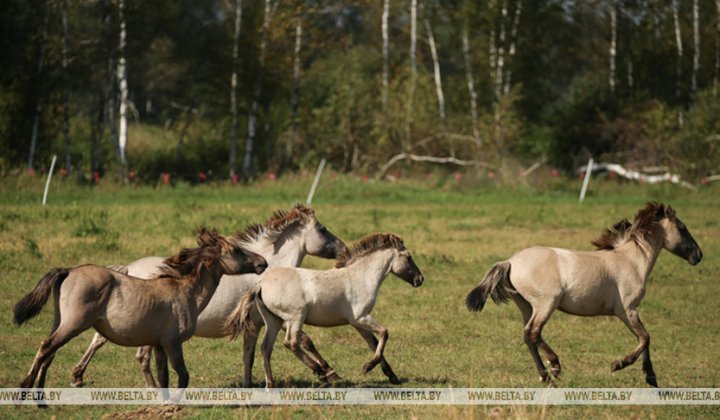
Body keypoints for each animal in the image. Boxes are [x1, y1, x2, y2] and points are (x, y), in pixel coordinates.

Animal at [15, 228, 268, 392]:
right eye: (235, 250)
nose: (262, 263)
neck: (185, 292)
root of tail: (68, 271)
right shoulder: (172, 343)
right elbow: (182, 376)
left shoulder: (158, 346)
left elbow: (164, 377)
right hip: (73, 324)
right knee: (46, 347)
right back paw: (26, 389)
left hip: (60, 323)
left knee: (49, 352)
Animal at [70, 204, 348, 388]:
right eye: (323, 229)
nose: (344, 250)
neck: (268, 273)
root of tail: (129, 268)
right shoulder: (270, 320)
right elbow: (303, 341)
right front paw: (326, 372)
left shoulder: (258, 324)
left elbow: (248, 356)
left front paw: (249, 384)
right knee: (133, 354)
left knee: (99, 339)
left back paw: (78, 375)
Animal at [225, 232, 425, 388]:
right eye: (408, 257)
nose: (420, 279)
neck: (360, 277)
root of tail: (260, 284)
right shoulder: (360, 318)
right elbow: (384, 333)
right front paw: (367, 367)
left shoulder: (357, 323)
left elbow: (374, 343)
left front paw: (392, 376)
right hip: (295, 318)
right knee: (291, 343)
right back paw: (319, 370)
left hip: (274, 321)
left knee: (266, 348)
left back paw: (271, 384)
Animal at [466, 202, 703, 387]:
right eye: (682, 228)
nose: (698, 256)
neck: (631, 261)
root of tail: (510, 262)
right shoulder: (627, 310)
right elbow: (645, 338)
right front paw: (619, 364)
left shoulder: (630, 312)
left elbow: (644, 339)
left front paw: (651, 377)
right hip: (546, 304)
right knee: (532, 332)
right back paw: (552, 370)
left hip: (526, 306)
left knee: (529, 335)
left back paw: (549, 373)